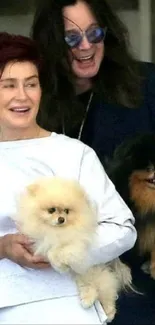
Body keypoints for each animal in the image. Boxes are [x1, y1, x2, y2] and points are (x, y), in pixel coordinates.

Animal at [14, 176, 132, 320]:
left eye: (66, 211)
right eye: (51, 210)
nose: (61, 219)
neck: (56, 231)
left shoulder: (76, 242)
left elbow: (60, 252)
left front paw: (61, 265)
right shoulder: (42, 241)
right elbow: (51, 252)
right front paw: (60, 266)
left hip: (92, 271)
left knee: (106, 287)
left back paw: (108, 312)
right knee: (94, 286)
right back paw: (89, 301)